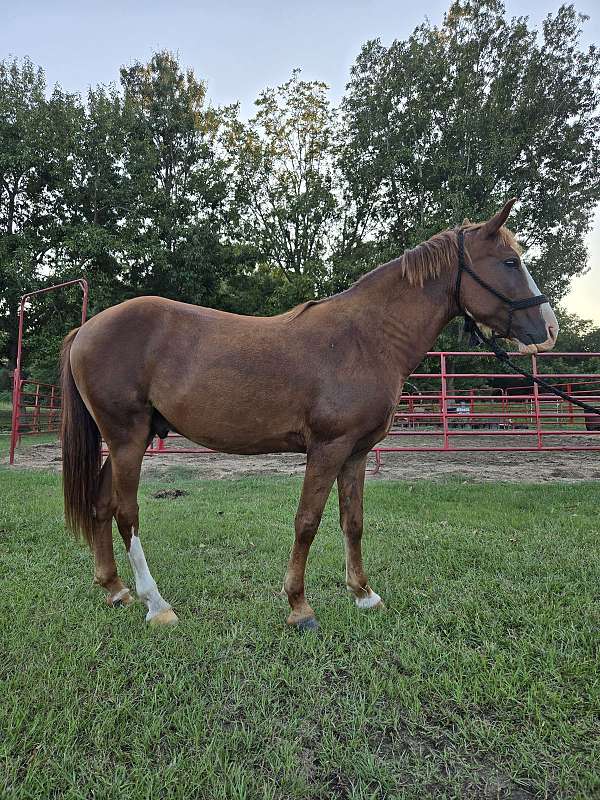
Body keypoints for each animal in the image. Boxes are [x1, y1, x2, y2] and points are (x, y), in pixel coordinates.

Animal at [60, 199, 558, 630]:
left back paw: (116, 590)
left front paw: (364, 594)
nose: (549, 330)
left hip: (130, 439)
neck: (366, 338)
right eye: (509, 263)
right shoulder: (328, 448)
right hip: (127, 438)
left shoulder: (355, 453)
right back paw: (156, 604)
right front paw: (299, 607)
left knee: (102, 504)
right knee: (127, 513)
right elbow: (307, 522)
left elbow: (352, 522)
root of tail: (86, 329)